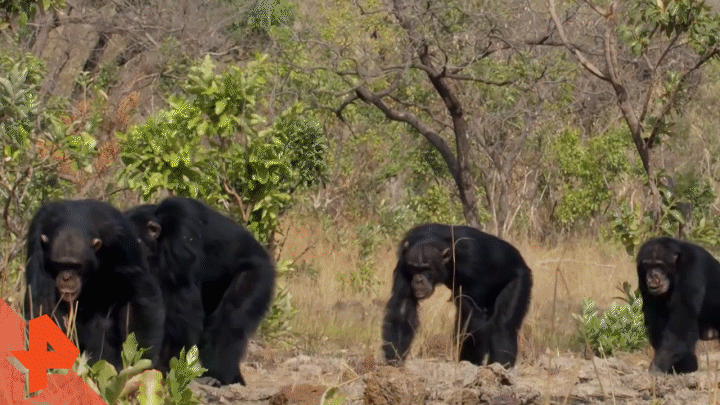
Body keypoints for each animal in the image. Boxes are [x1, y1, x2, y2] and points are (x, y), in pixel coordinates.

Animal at [23, 197, 165, 368]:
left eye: (75, 266)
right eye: (59, 265)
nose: (66, 278)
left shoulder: (121, 237)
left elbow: (140, 294)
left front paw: (141, 361)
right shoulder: (37, 231)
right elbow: (41, 299)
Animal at [125, 196, 278, 386]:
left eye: (135, 240)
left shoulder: (181, 238)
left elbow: (181, 306)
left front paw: (166, 367)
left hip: (259, 275)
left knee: (231, 319)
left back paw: (219, 376)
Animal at [380, 223, 532, 368]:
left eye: (426, 268)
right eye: (414, 268)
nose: (418, 280)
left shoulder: (471, 259)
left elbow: (475, 317)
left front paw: (471, 363)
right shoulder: (403, 260)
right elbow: (403, 305)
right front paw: (394, 361)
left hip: (521, 277)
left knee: (503, 326)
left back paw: (500, 368)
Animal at [640, 237, 720, 372]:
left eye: (660, 265)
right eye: (648, 265)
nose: (652, 274)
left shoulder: (692, 269)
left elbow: (682, 321)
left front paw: (658, 365)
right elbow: (655, 317)